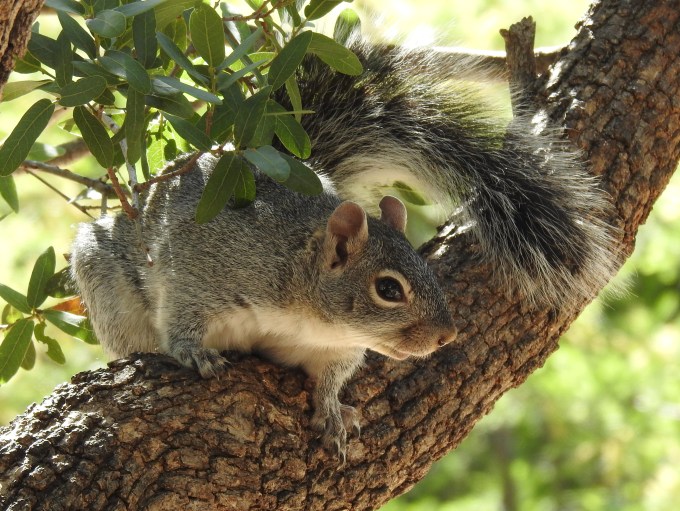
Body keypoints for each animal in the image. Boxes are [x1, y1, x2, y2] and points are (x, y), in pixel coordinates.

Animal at [70, 42, 616, 461]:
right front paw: (194, 352)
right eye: (388, 289)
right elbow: (183, 313)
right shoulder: (206, 269)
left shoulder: (335, 349)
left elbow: (331, 379)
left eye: (429, 272)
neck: (309, 311)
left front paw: (332, 412)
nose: (446, 336)